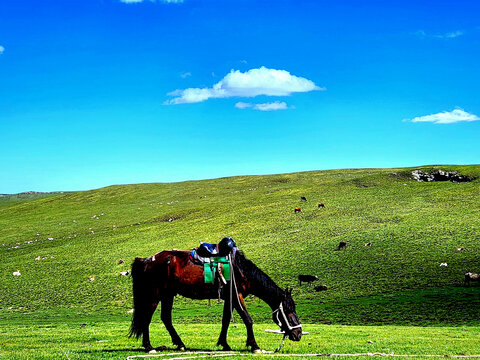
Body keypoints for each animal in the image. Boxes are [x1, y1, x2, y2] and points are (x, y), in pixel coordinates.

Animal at [129, 249, 302, 352]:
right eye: (289, 310)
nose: (299, 334)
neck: (240, 270)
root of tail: (146, 260)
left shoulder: (229, 299)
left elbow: (225, 320)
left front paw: (224, 344)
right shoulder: (237, 296)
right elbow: (248, 319)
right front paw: (254, 346)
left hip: (167, 295)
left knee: (165, 318)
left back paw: (180, 344)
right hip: (155, 294)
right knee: (146, 318)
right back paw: (149, 346)